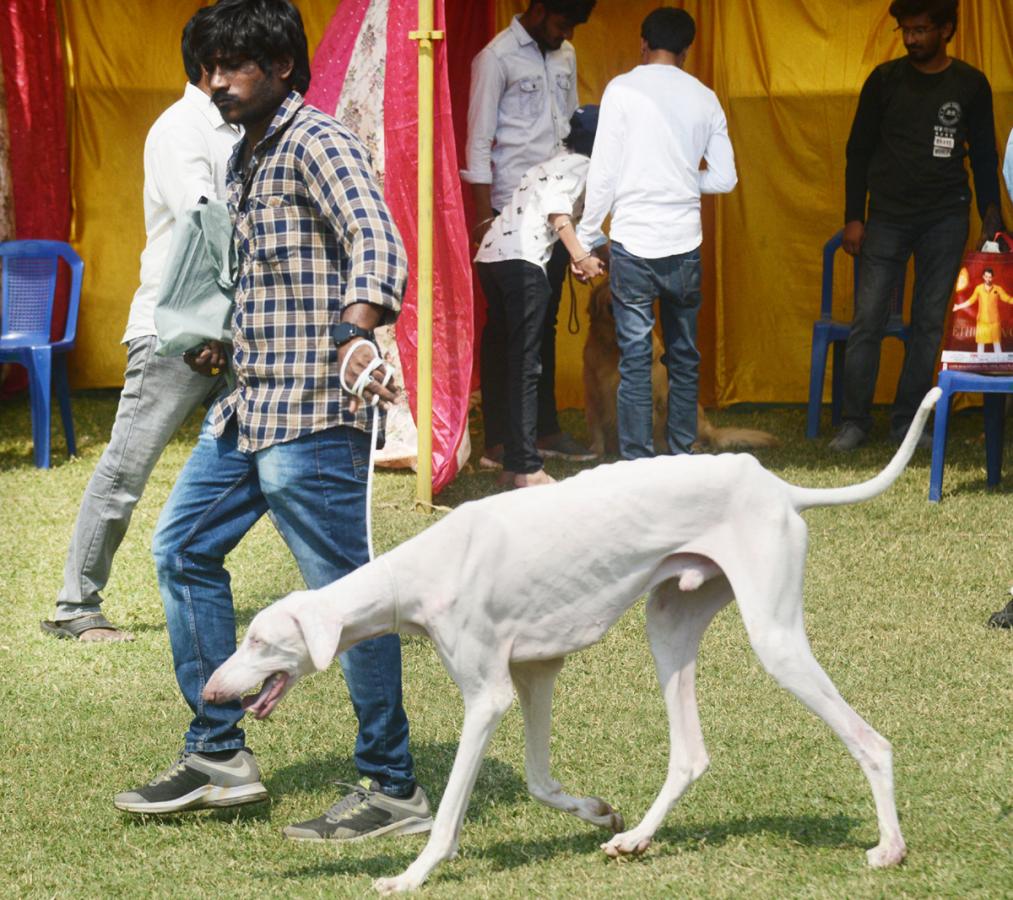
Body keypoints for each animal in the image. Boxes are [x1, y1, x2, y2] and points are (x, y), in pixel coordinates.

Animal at [205, 389, 940, 891]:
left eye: (261, 641)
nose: (211, 691)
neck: (415, 570)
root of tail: (777, 485)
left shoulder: (488, 696)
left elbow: (448, 813)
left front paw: (411, 875)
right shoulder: (536, 673)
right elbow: (537, 781)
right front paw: (595, 812)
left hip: (775, 636)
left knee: (871, 741)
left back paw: (889, 848)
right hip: (669, 623)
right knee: (689, 755)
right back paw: (635, 839)